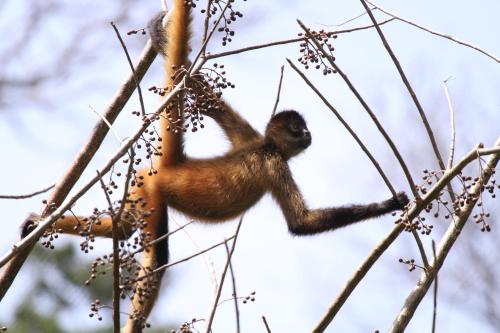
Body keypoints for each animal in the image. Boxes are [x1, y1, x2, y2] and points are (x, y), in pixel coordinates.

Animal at [20, 1, 410, 330]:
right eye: (298, 130)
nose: (309, 135)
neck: (266, 145)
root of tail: (174, 164)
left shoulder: (247, 134)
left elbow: (199, 89)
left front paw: (159, 37)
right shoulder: (274, 163)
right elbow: (301, 223)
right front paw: (391, 203)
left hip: (141, 185)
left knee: (123, 228)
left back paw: (36, 224)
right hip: (152, 192)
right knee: (156, 259)